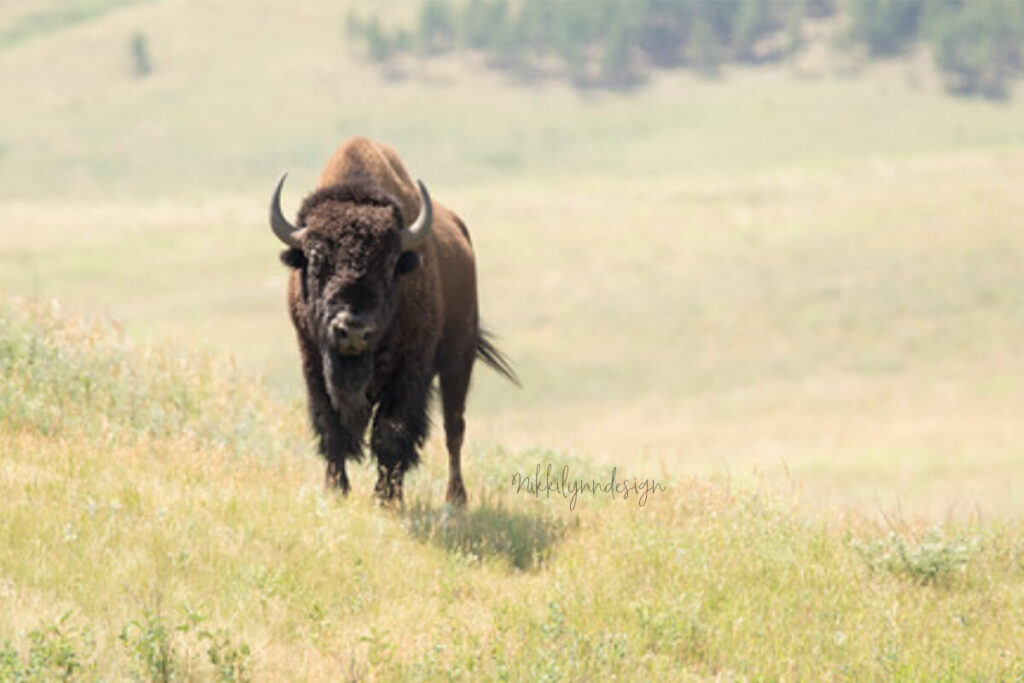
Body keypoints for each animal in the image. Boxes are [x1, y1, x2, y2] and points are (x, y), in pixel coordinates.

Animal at [269, 137, 517, 505]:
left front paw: (387, 498)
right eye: (315, 261)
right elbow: (331, 428)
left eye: (389, 264)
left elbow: (392, 431)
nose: (352, 330)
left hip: (459, 360)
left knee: (454, 428)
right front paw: (335, 489)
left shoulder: (409, 371)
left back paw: (456, 499)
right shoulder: (313, 362)